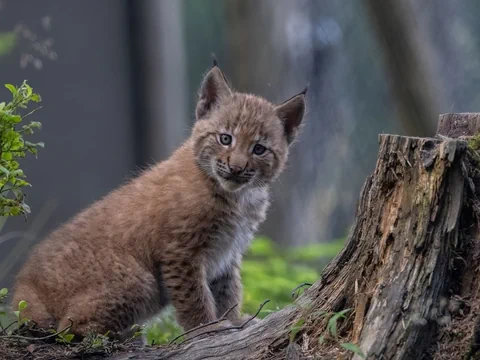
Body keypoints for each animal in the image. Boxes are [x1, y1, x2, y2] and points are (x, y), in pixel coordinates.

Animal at [14, 61, 308, 338]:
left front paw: (233, 320)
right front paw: (206, 329)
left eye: (259, 149)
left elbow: (228, 291)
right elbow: (194, 296)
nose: (236, 168)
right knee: (68, 328)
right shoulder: (181, 251)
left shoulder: (227, 253)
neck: (238, 195)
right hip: (141, 280)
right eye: (225, 139)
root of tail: (24, 284)